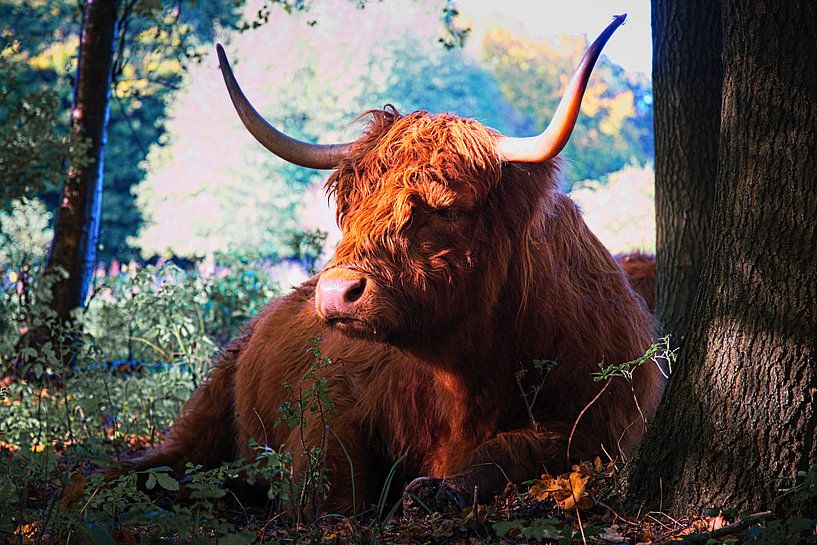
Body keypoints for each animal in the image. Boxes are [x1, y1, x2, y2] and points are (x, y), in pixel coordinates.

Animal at [130, 15, 663, 514]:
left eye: (445, 207)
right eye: (347, 203)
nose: (336, 293)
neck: (466, 378)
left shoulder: (598, 425)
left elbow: (510, 452)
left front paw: (437, 491)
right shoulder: (333, 402)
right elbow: (324, 484)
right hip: (209, 405)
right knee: (164, 461)